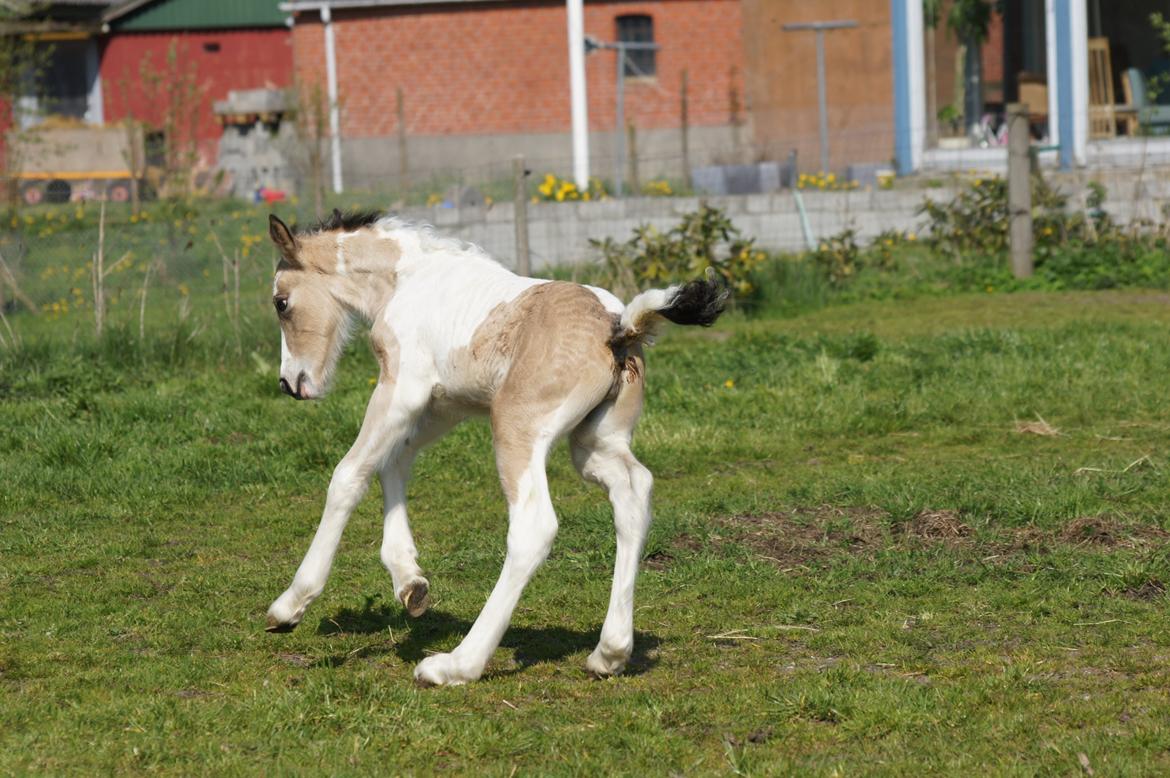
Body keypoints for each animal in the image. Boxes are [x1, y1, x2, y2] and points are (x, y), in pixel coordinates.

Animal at [265, 209, 720, 683]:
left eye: (281, 302)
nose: (289, 383)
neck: (406, 278)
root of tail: (619, 327)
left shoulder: (403, 387)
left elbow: (349, 475)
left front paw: (291, 604)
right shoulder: (447, 404)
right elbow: (395, 461)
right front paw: (410, 583)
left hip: (516, 427)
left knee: (534, 527)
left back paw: (456, 664)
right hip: (596, 443)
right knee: (633, 491)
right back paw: (609, 653)